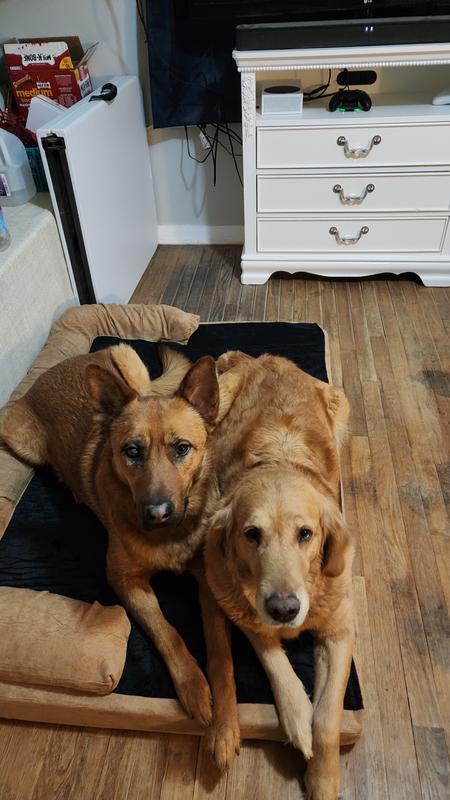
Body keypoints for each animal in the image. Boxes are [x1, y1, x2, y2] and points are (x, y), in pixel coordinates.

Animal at [0, 342, 237, 762]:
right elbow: (167, 631)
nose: (156, 513)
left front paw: (224, 727)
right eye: (132, 451)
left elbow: (221, 653)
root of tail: (56, 366)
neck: (169, 536)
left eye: (182, 449)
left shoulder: (209, 581)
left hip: (129, 363)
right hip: (18, 437)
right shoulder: (124, 580)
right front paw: (194, 687)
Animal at [203, 351, 354, 799]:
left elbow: (328, 717)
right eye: (251, 534)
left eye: (306, 534)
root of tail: (267, 357)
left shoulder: (341, 630)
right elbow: (276, 662)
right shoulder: (245, 611)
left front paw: (323, 779)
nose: (285, 609)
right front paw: (297, 717)